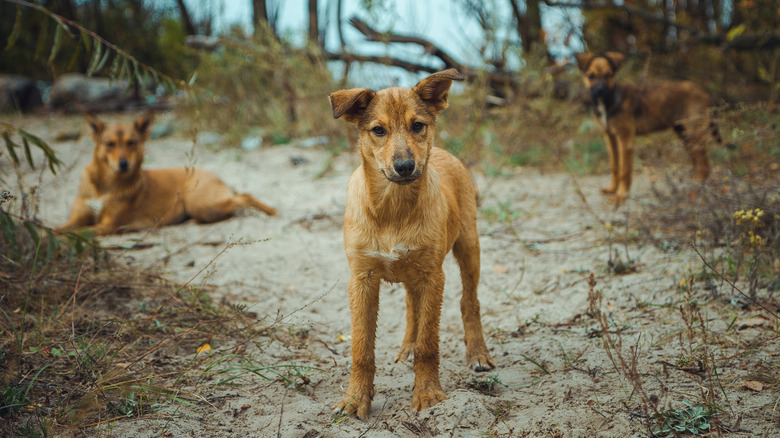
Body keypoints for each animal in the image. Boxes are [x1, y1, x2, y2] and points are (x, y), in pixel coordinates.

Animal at [55, 114, 274, 236]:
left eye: (132, 142)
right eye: (110, 144)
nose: (123, 164)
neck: (105, 185)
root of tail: (217, 177)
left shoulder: (107, 225)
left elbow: (76, 233)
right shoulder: (76, 218)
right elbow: (57, 229)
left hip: (199, 203)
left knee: (243, 198)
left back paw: (271, 211)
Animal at [330, 68, 494, 418]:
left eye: (418, 125)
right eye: (378, 130)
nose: (405, 166)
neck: (393, 209)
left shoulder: (433, 276)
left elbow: (428, 343)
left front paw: (428, 393)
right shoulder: (361, 279)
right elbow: (362, 347)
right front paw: (355, 399)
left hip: (468, 246)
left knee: (469, 302)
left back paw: (477, 354)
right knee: (411, 306)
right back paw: (406, 346)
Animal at [576, 51, 724, 204]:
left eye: (608, 75)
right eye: (590, 76)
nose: (600, 91)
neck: (609, 102)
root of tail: (706, 92)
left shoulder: (625, 138)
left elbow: (625, 169)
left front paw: (621, 195)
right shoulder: (610, 136)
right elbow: (615, 166)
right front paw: (612, 189)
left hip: (695, 134)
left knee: (705, 167)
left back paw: (696, 192)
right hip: (684, 133)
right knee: (698, 163)